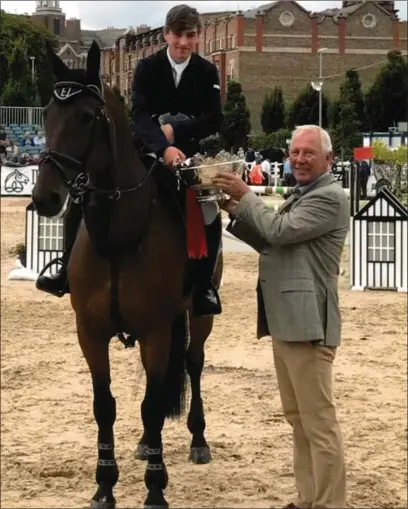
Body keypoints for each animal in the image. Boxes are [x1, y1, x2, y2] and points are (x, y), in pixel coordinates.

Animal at [32, 41, 223, 508]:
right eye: (47, 112)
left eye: (86, 117)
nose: (45, 197)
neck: (119, 235)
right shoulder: (91, 332)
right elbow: (106, 406)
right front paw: (104, 485)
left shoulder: (155, 331)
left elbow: (151, 407)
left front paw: (155, 488)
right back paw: (143, 445)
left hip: (198, 315)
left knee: (193, 364)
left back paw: (197, 440)